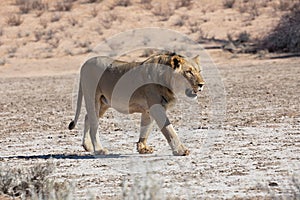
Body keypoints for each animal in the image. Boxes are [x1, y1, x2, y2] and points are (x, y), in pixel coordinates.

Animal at [68, 52, 204, 156]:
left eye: (199, 71)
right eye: (189, 72)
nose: (202, 84)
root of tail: (85, 63)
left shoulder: (149, 110)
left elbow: (145, 129)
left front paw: (143, 148)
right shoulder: (156, 108)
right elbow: (169, 130)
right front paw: (181, 150)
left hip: (103, 103)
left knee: (87, 118)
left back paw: (87, 146)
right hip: (93, 98)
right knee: (93, 124)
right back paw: (99, 150)